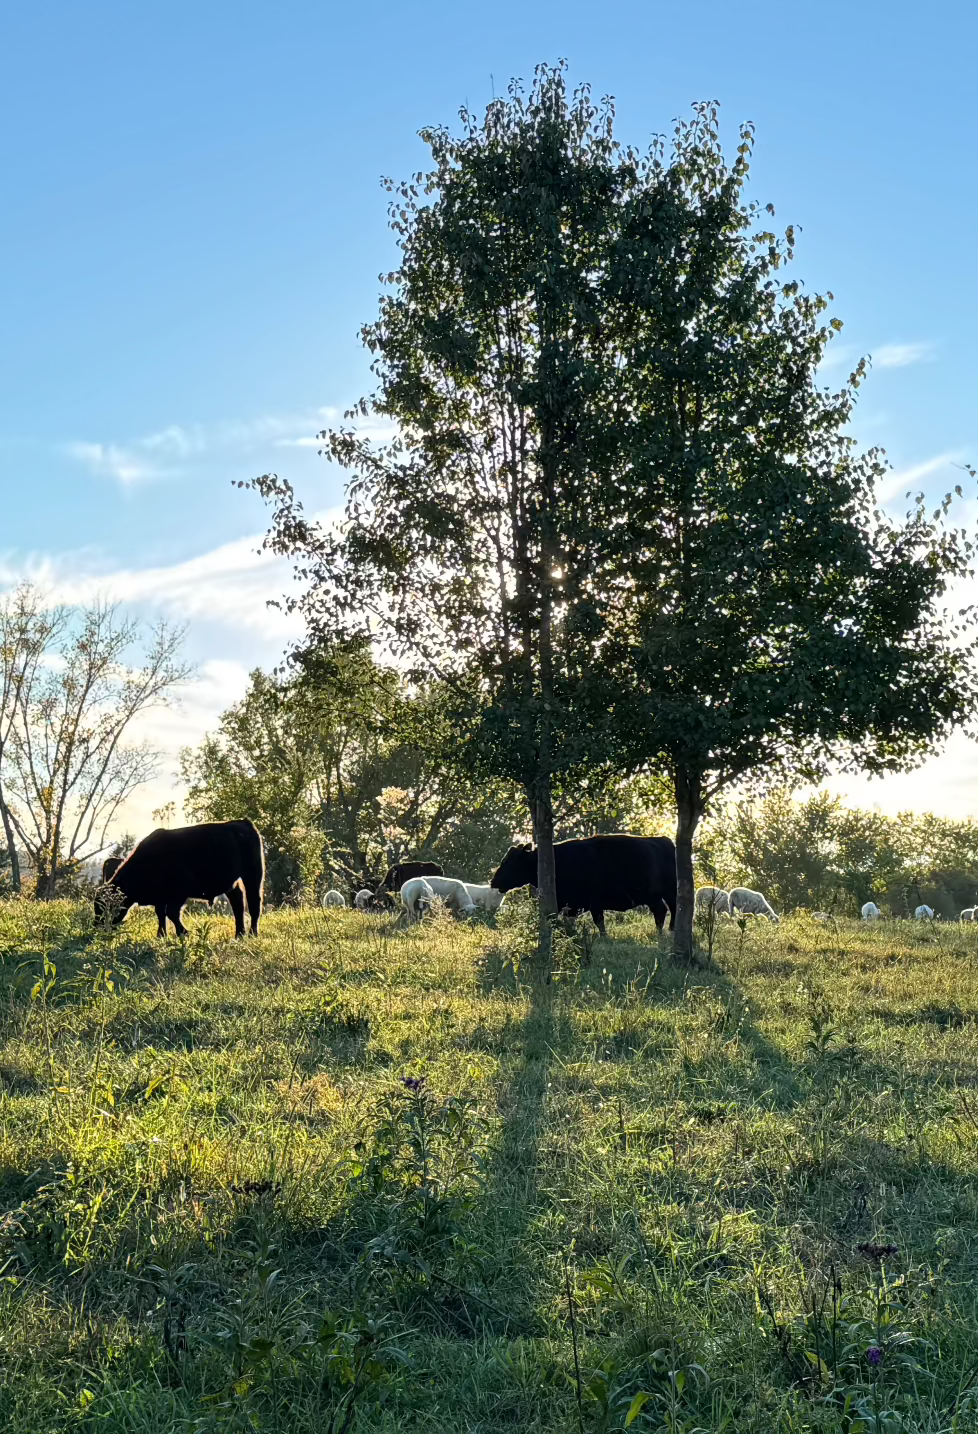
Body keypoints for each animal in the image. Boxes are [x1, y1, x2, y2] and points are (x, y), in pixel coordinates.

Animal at [93, 820, 265, 940]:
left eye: (103, 906)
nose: (97, 926)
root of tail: (243, 823)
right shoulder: (161, 897)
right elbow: (161, 914)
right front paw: (162, 935)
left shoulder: (179, 894)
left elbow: (171, 913)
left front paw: (183, 932)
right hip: (233, 883)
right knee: (238, 903)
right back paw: (239, 934)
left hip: (253, 875)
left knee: (254, 903)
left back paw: (252, 933)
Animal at [490, 837, 673, 934]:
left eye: (508, 861)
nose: (493, 881)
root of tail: (663, 840)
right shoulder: (571, 904)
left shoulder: (593, 903)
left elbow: (599, 922)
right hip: (655, 896)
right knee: (662, 910)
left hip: (663, 893)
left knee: (667, 910)